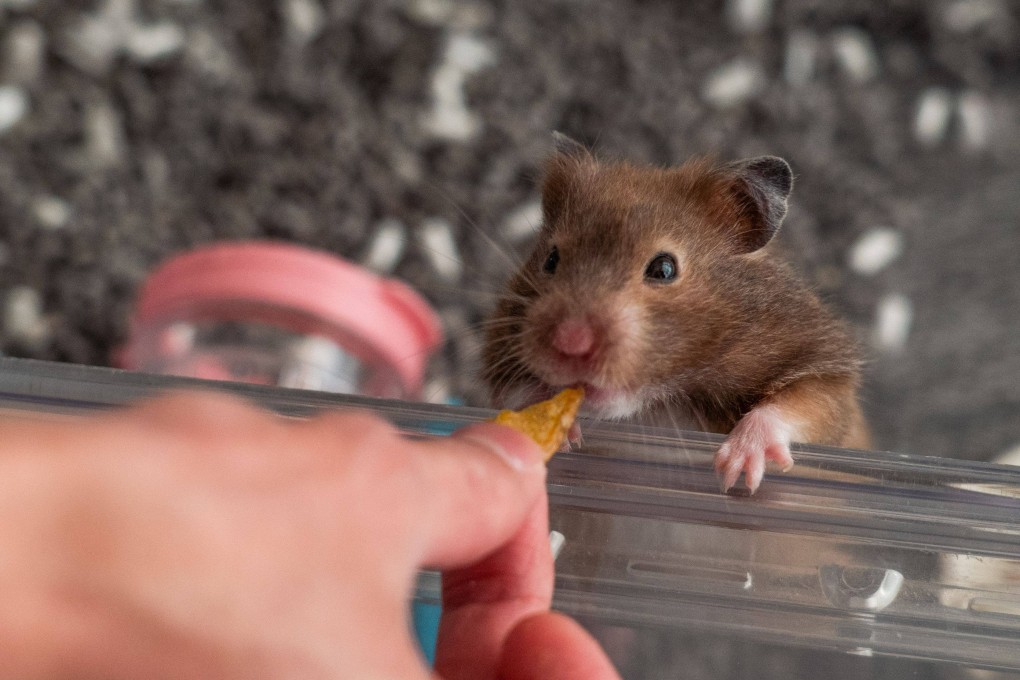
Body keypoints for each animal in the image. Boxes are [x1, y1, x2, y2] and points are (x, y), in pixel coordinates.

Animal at [482, 134, 869, 493]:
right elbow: (511, 391)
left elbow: (804, 405)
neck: (660, 403)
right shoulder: (500, 354)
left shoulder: (826, 370)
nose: (570, 342)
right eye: (551, 259)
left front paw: (735, 471)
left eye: (664, 269)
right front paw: (554, 426)